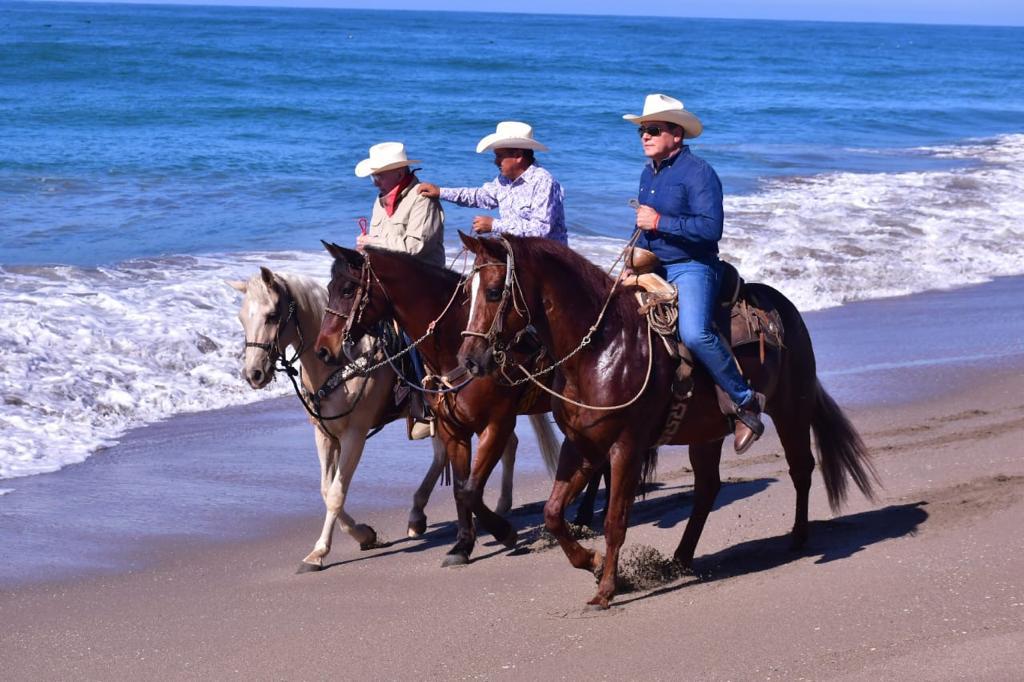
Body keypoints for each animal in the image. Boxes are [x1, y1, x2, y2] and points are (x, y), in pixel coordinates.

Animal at [231, 266, 528, 569]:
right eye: (242, 318)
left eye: (272, 315)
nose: (253, 374)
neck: (339, 364)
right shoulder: (324, 434)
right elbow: (327, 489)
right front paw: (364, 535)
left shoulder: (355, 433)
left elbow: (336, 493)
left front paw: (321, 551)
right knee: (458, 452)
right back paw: (419, 515)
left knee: (506, 443)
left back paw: (501, 505)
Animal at [317, 241, 565, 565]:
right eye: (329, 288)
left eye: (348, 290)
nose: (323, 349)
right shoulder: (452, 428)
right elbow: (461, 489)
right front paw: (463, 545)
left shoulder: (496, 423)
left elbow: (470, 491)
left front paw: (504, 532)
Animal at [458, 233, 880, 606]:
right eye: (466, 291)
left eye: (493, 291)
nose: (469, 359)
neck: (601, 348)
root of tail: (784, 307)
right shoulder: (581, 445)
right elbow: (552, 514)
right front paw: (592, 563)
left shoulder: (626, 447)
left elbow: (615, 521)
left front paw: (606, 589)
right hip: (707, 435)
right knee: (708, 488)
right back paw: (681, 557)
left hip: (791, 409)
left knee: (801, 468)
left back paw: (798, 536)